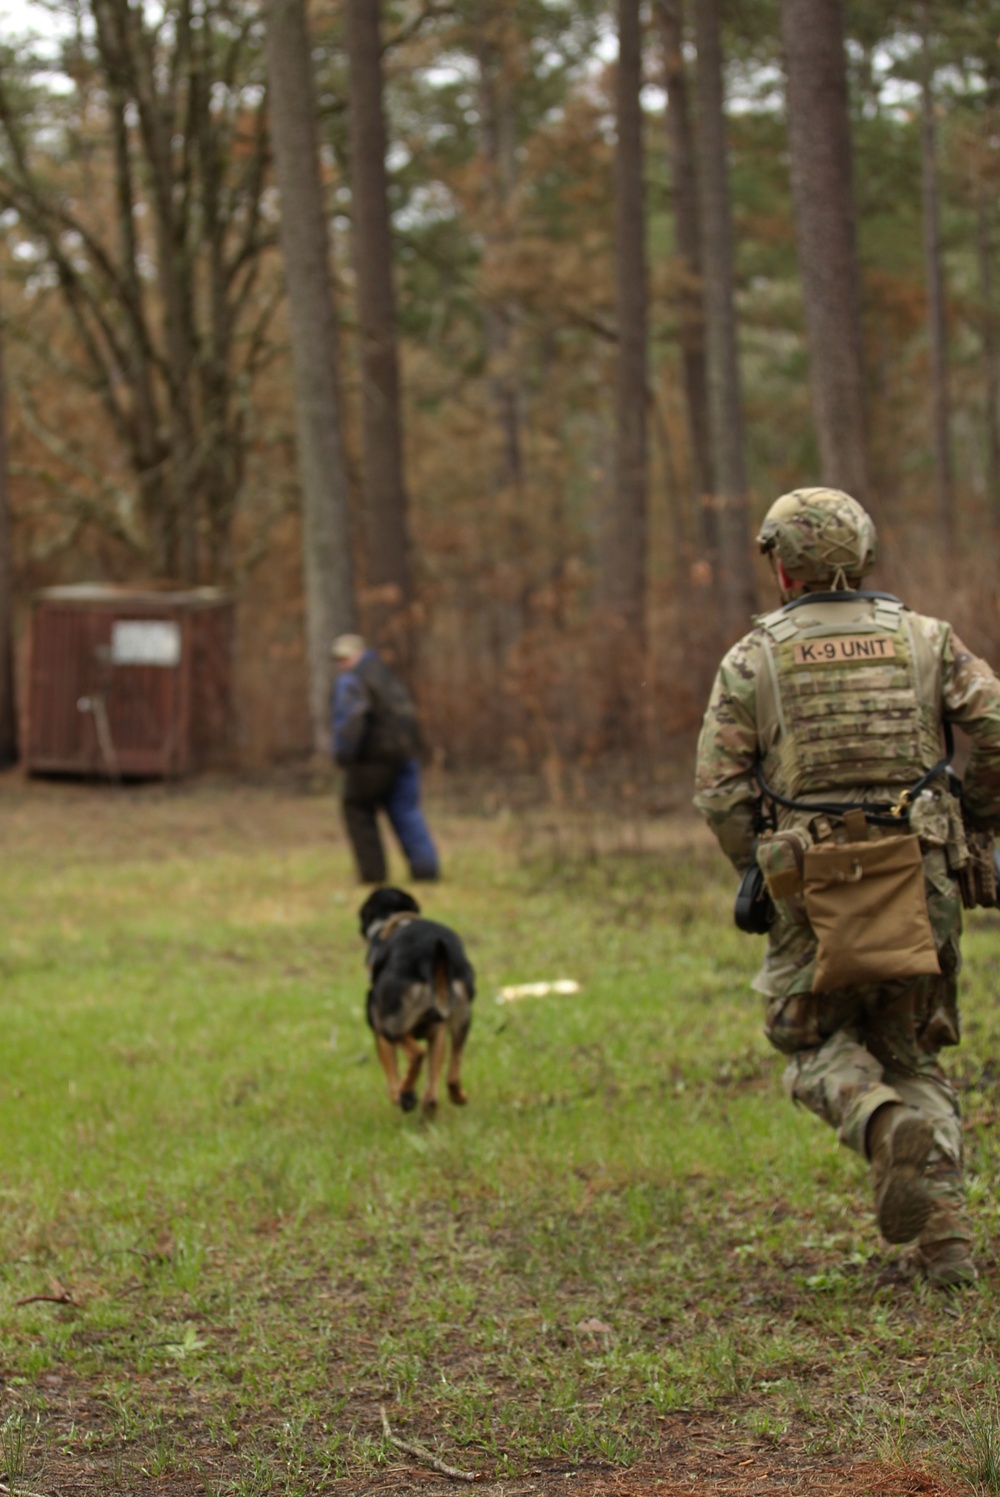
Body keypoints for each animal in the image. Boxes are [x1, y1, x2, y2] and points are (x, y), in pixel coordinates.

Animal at [359, 886, 476, 1113]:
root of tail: (428, 956)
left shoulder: (381, 1036)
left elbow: (392, 1076)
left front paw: (402, 1095)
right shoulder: (437, 1033)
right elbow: (432, 1087)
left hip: (388, 1026)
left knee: (416, 1055)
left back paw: (405, 1094)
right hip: (462, 1019)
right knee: (450, 1077)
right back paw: (456, 1097)